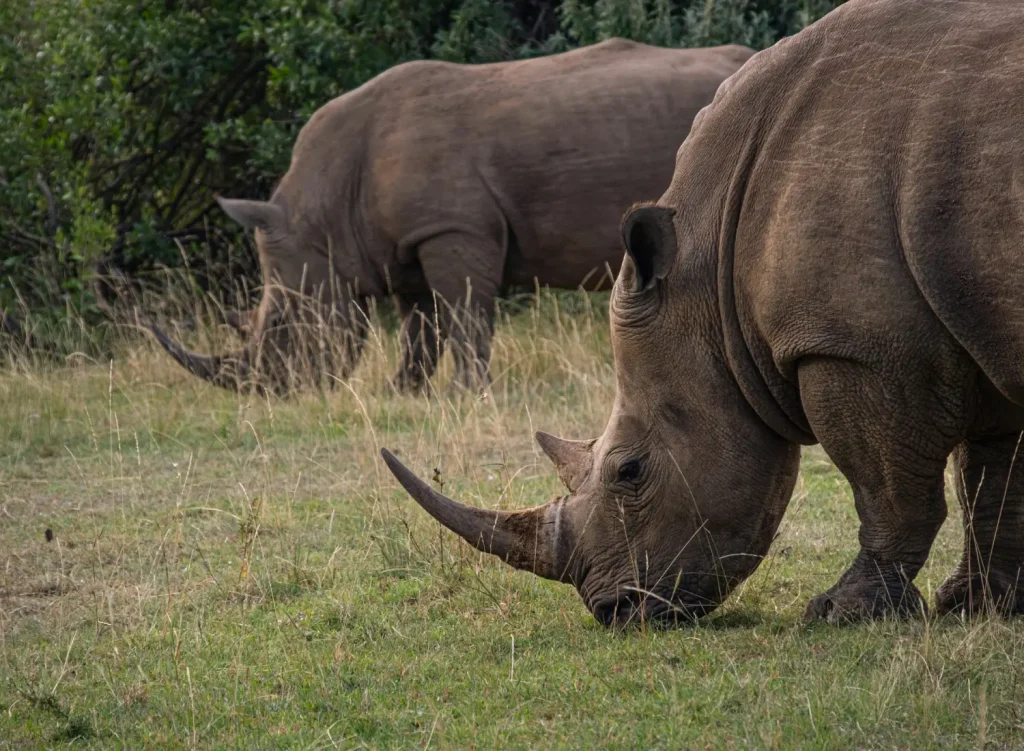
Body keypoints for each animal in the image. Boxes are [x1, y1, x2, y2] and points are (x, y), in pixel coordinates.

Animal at [149, 39, 755, 395]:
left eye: (281, 323)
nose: (275, 393)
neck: (324, 211)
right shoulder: (403, 245)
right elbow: (420, 326)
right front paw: (402, 393)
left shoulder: (452, 229)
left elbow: (463, 315)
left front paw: (469, 393)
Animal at [381, 0, 1024, 625]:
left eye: (630, 471)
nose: (615, 611)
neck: (710, 270)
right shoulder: (969, 328)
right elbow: (993, 479)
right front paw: (977, 605)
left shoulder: (858, 348)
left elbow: (890, 489)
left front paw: (842, 613)